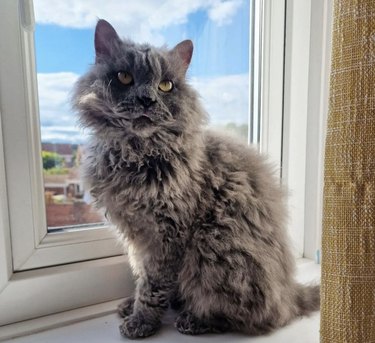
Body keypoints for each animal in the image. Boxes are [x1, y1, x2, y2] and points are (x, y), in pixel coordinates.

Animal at [72, 20, 320, 340]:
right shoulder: (136, 237)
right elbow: (141, 275)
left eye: (166, 85)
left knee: (251, 316)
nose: (147, 100)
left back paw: (194, 319)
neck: (136, 154)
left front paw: (142, 320)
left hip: (214, 246)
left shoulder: (167, 235)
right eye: (124, 77)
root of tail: (289, 294)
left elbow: (152, 285)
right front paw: (134, 305)